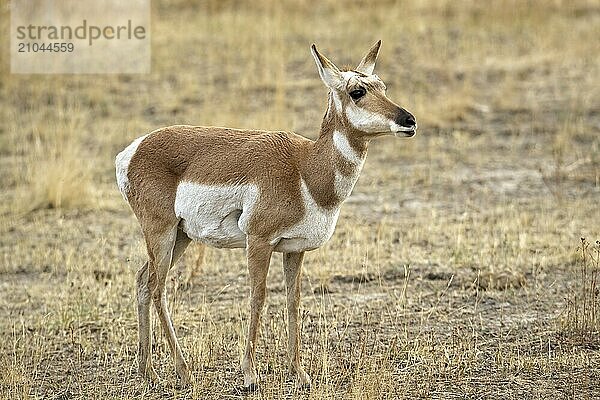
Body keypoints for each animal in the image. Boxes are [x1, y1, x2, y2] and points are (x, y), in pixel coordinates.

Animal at [116, 41, 418, 390]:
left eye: (382, 86)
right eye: (357, 91)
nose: (409, 120)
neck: (305, 169)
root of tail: (133, 150)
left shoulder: (294, 249)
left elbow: (293, 300)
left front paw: (299, 372)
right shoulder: (259, 242)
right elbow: (257, 297)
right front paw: (249, 375)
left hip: (180, 236)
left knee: (142, 281)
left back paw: (147, 371)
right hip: (162, 233)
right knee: (157, 289)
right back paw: (183, 371)